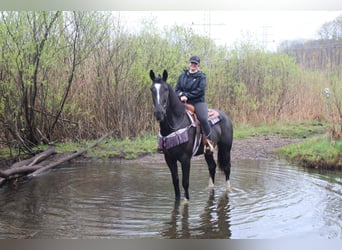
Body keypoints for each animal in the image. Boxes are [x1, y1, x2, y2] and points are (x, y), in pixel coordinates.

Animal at [150, 69, 232, 201]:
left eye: (165, 89)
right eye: (152, 89)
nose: (159, 113)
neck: (177, 122)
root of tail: (226, 117)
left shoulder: (185, 159)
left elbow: (185, 182)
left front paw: (186, 202)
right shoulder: (169, 159)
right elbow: (175, 181)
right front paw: (177, 200)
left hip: (226, 148)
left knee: (227, 168)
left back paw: (228, 190)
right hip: (207, 151)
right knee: (212, 166)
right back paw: (210, 188)